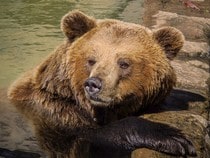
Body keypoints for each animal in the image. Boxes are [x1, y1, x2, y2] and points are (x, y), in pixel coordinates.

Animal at [7, 10, 196, 158]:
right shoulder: (54, 112)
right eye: (91, 60)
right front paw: (174, 137)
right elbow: (97, 133)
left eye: (124, 63)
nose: (93, 84)